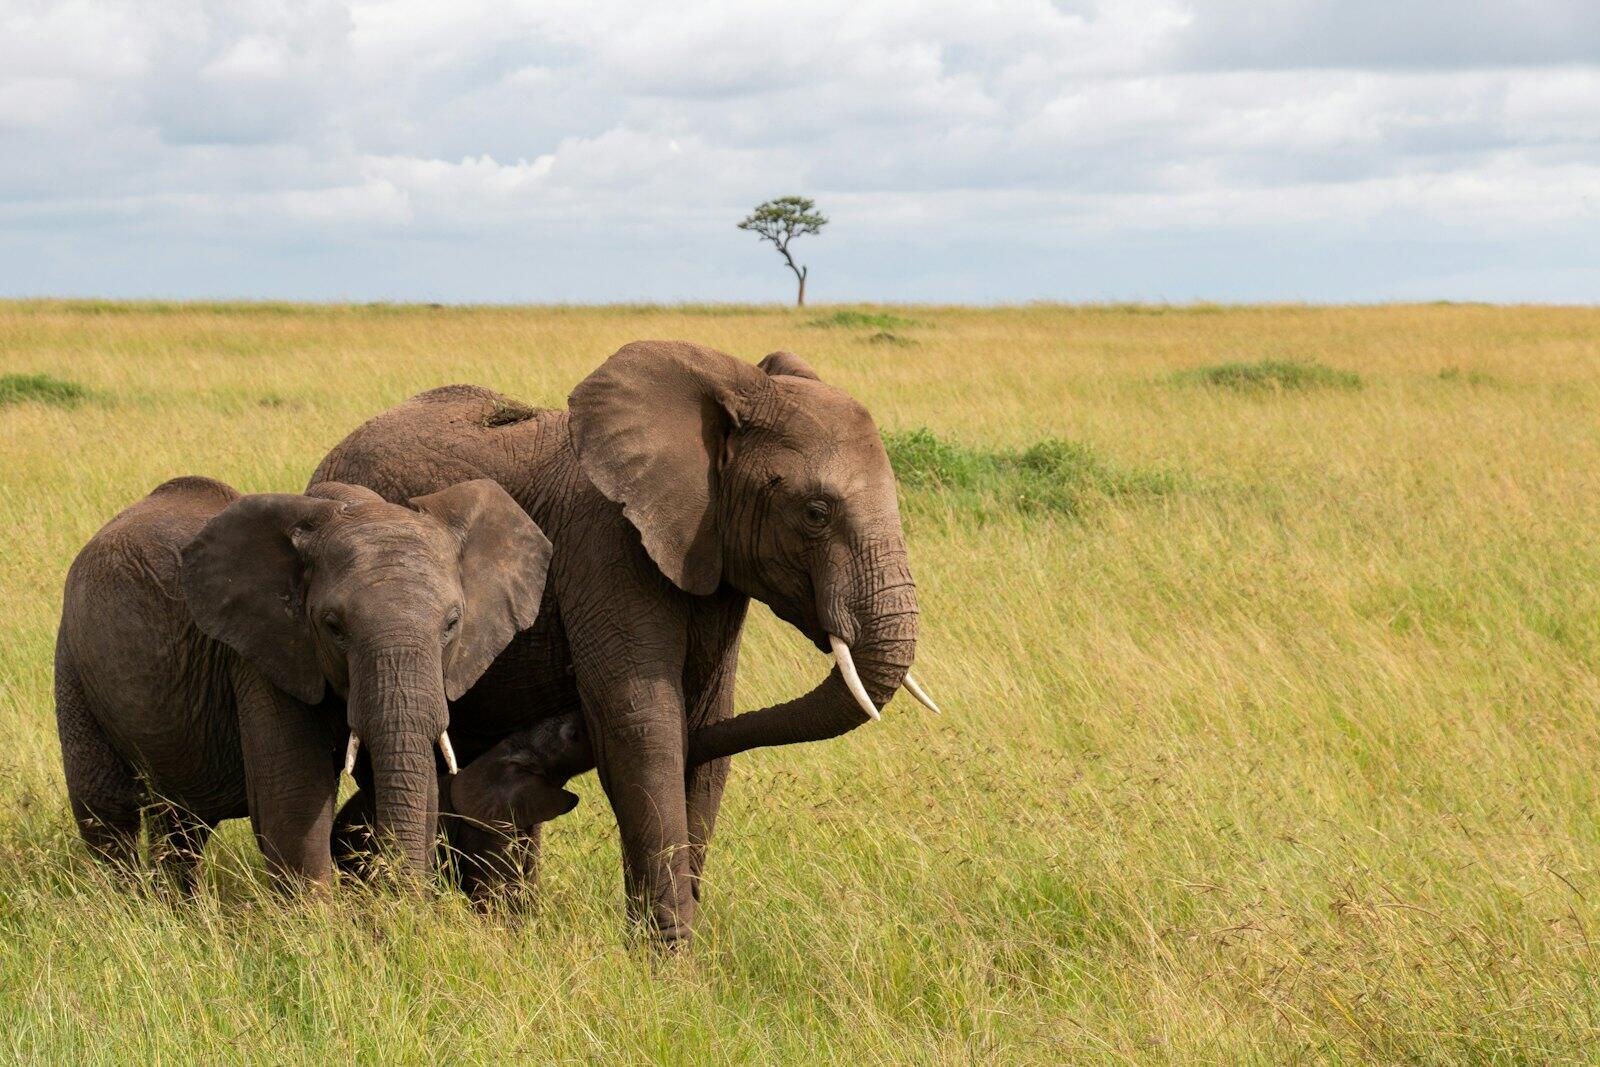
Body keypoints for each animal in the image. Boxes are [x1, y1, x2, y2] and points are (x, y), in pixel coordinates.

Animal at [53, 474, 553, 887]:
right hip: (72, 659)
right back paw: (126, 905)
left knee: (178, 821)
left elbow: (414, 781)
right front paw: (321, 930)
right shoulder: (261, 655)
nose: (408, 904)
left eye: (452, 624)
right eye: (333, 626)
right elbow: (294, 799)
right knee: (107, 810)